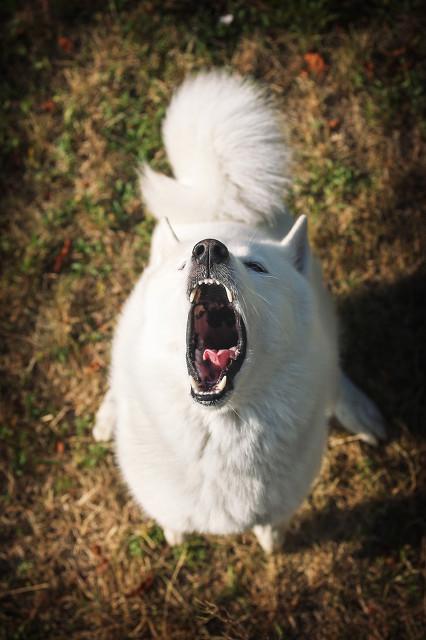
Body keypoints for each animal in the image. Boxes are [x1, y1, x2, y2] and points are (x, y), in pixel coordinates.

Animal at [94, 69, 386, 552]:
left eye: (258, 267)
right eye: (182, 265)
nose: (210, 249)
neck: (220, 430)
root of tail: (222, 211)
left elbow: (271, 526)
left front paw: (272, 545)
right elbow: (173, 522)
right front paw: (176, 536)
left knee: (335, 371)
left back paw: (359, 411)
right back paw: (106, 417)